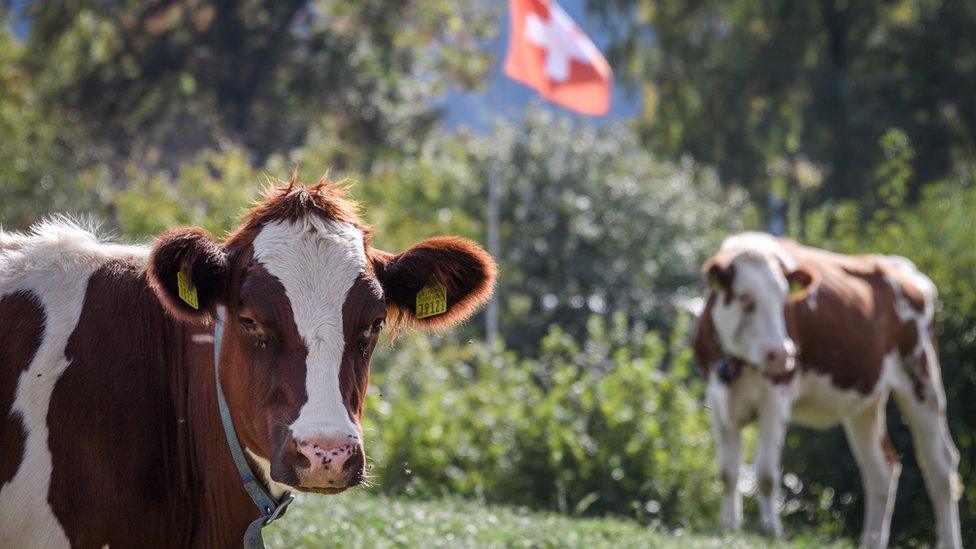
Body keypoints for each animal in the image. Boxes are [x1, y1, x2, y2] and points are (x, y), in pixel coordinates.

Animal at [692, 232, 960, 548]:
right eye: (745, 298)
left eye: (784, 299)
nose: (781, 354)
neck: (737, 361)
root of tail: (902, 267)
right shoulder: (717, 396)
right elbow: (728, 472)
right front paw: (729, 527)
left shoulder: (777, 396)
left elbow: (766, 472)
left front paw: (771, 531)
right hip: (864, 400)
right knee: (881, 469)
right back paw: (871, 541)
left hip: (922, 378)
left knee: (939, 465)